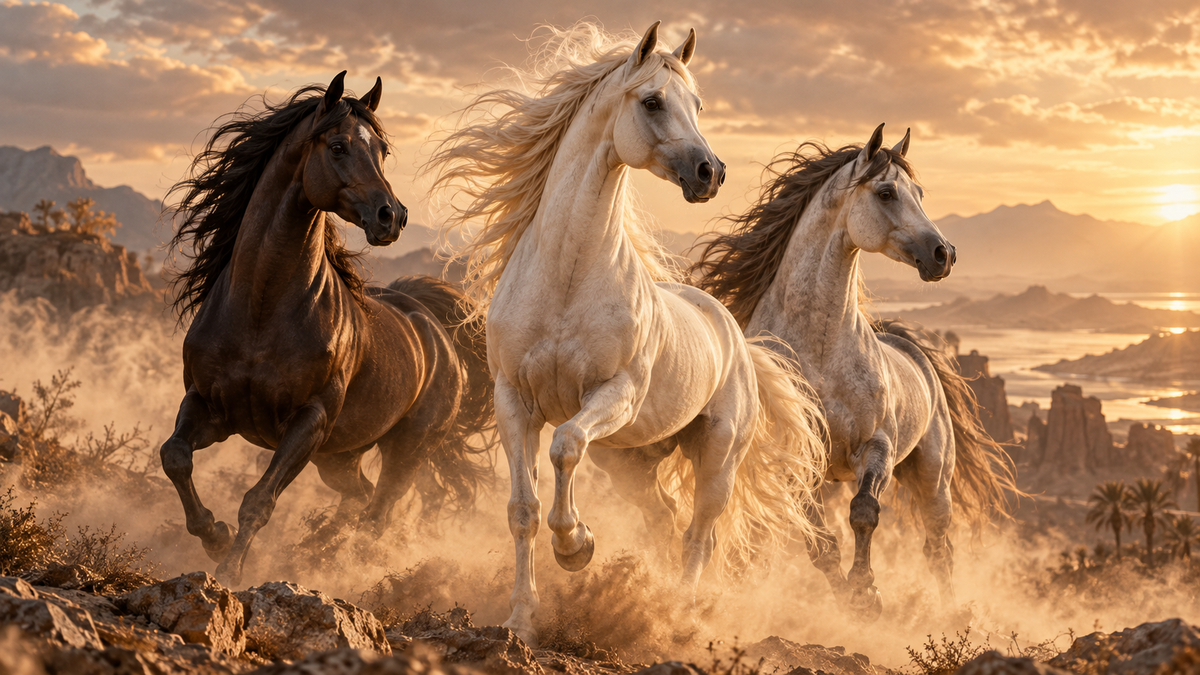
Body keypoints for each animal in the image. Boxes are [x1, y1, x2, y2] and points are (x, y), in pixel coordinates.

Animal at [161, 72, 494, 586]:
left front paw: (231, 570)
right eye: (337, 146)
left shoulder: (310, 421)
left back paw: (339, 566)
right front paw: (213, 535)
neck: (260, 311)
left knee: (378, 513)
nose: (392, 216)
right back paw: (315, 550)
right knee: (360, 496)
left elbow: (259, 500)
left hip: (406, 451)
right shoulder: (208, 405)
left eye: (382, 150)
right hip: (339, 457)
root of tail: (436, 330)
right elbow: (175, 457)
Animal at [427, 22, 827, 644]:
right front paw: (522, 618)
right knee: (664, 521)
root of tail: (734, 339)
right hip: (631, 462)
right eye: (653, 101)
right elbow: (522, 509)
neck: (567, 278)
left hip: (718, 457)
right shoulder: (513, 401)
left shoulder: (612, 394)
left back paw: (679, 617)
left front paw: (576, 546)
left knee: (698, 534)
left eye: (699, 104)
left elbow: (566, 446)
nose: (711, 173)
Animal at [692, 124, 1016, 619]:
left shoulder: (875, 446)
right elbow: (818, 541)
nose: (944, 254)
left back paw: (949, 611)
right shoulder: (797, 462)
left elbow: (864, 513)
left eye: (920, 193)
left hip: (933, 477)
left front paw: (866, 591)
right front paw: (851, 596)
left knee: (938, 547)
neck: (821, 352)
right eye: (885, 192)